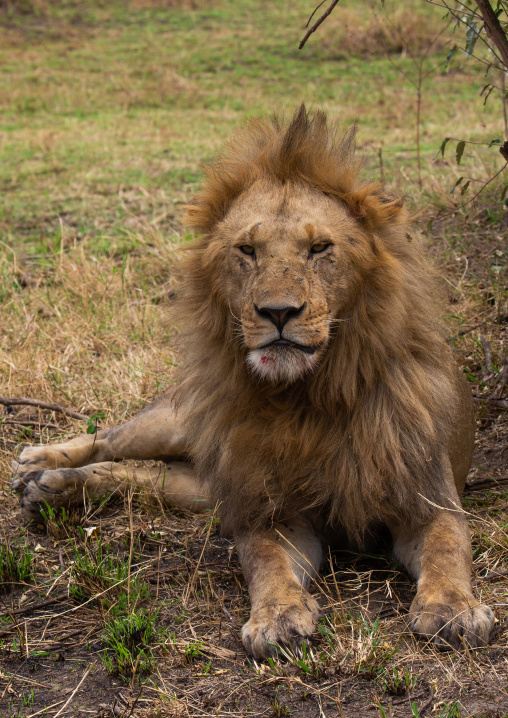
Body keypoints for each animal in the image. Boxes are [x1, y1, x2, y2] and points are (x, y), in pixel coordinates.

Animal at [11, 106, 494, 658]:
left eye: (319, 248)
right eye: (247, 249)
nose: (278, 312)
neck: (306, 402)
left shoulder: (428, 502)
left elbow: (447, 549)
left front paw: (453, 610)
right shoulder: (272, 513)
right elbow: (266, 562)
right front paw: (277, 617)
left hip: (209, 486)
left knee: (145, 474)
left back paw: (54, 487)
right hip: (182, 423)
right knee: (111, 438)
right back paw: (41, 465)